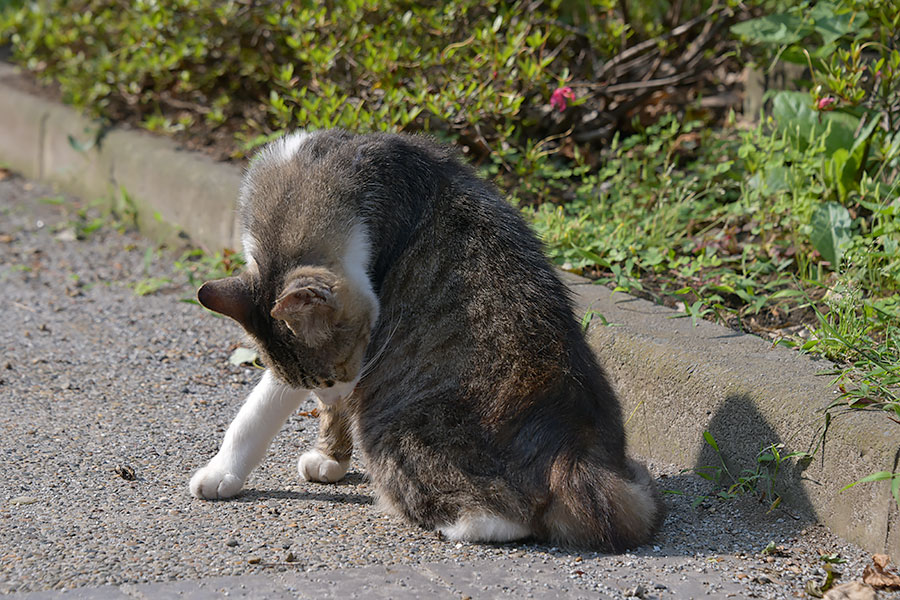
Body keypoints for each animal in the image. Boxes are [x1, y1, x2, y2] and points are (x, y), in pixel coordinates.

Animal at [188, 130, 660, 548]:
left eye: (334, 373)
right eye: (322, 381)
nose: (338, 392)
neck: (300, 187)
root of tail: (574, 452)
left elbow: (260, 408)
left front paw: (230, 468)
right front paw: (322, 458)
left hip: (392, 431)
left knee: (506, 516)